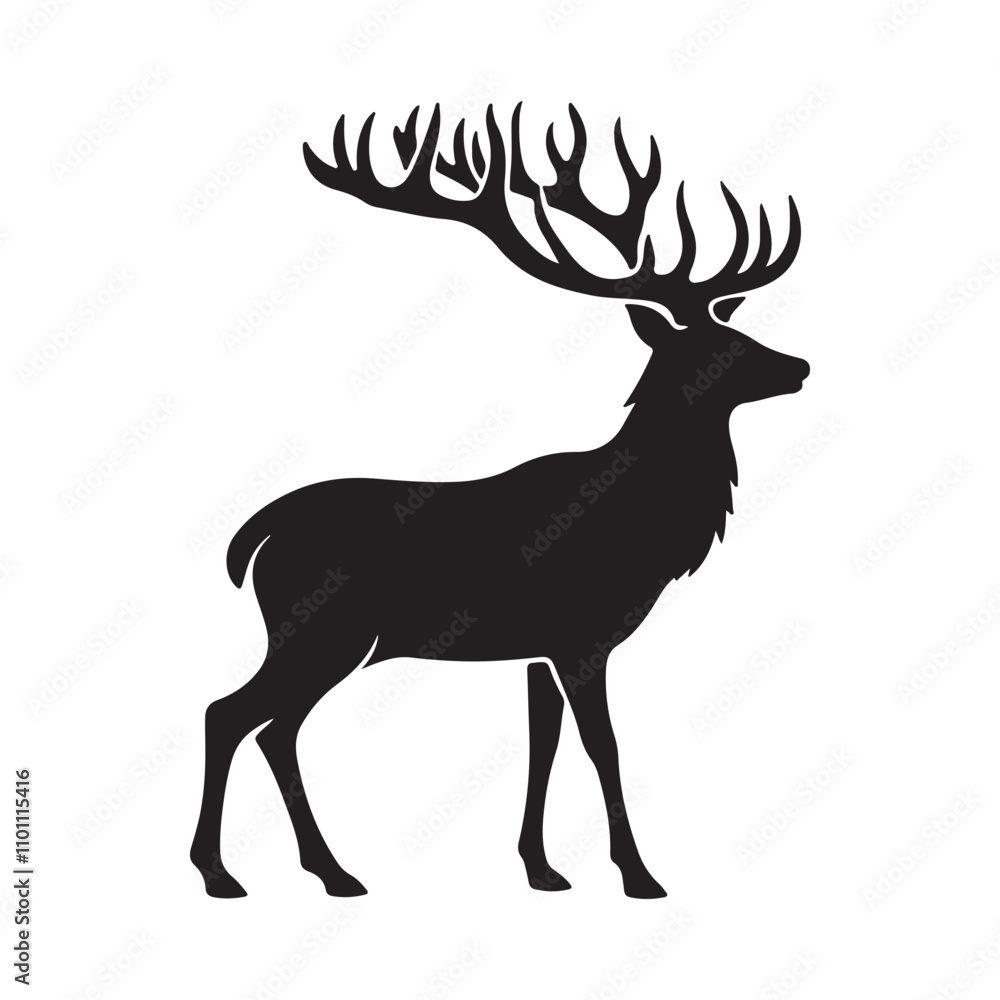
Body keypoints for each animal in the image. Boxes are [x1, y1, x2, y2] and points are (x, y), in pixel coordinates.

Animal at [190, 103, 808, 900]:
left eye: (736, 327)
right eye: (715, 347)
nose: (798, 365)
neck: (647, 522)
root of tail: (253, 539)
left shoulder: (536, 648)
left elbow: (544, 743)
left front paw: (542, 868)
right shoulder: (581, 634)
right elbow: (602, 746)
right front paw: (639, 873)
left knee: (266, 725)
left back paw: (320, 869)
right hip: (322, 629)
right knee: (236, 715)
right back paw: (232, 872)